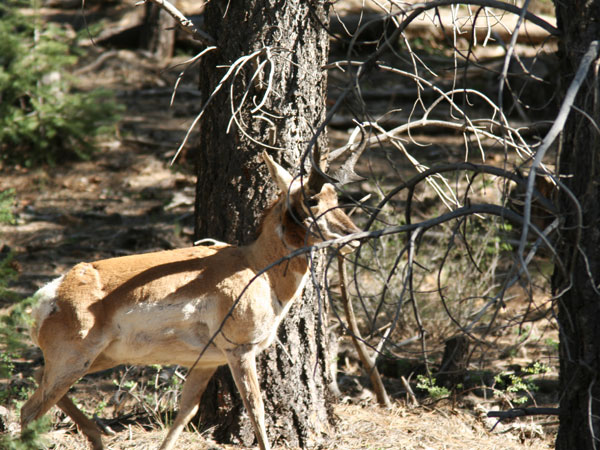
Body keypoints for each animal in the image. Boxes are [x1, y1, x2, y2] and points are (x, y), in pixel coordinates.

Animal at [19, 151, 360, 450]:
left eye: (337, 198)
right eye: (311, 200)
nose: (354, 237)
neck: (256, 266)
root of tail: (53, 293)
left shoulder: (209, 361)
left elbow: (185, 413)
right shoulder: (240, 352)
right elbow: (256, 410)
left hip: (99, 359)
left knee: (37, 384)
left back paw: (95, 435)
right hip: (76, 360)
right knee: (31, 410)